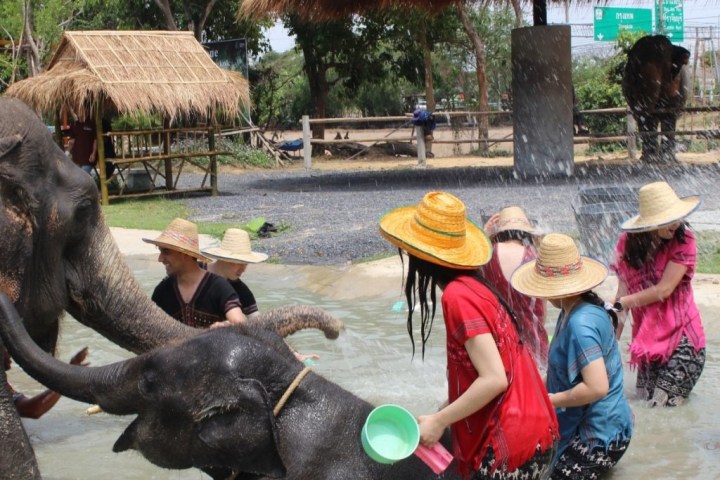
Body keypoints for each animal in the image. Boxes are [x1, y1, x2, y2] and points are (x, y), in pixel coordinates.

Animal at [622, 34, 691, 164]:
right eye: (634, 70)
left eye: (665, 65)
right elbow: (644, 116)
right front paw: (650, 158)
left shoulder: (677, 86)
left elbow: (669, 115)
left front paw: (666, 159)